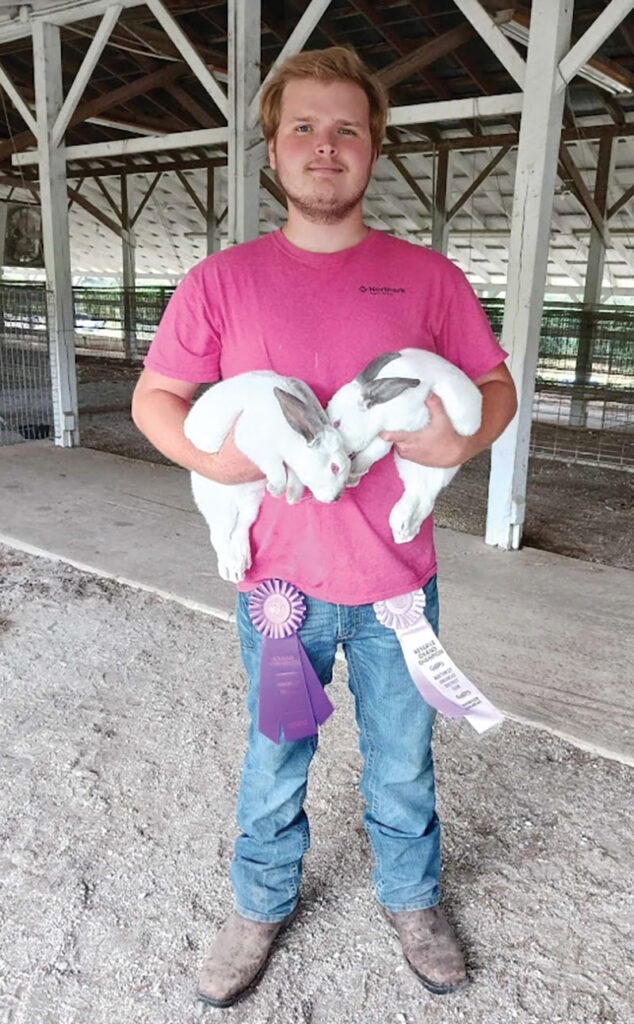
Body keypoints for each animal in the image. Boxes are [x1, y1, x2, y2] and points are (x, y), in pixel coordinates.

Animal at [183, 370, 352, 581]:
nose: (337, 497)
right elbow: (276, 468)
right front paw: (276, 489)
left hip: (251, 504)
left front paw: (292, 497)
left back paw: (242, 559)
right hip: (220, 507)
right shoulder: (257, 447)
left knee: (241, 528)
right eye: (335, 468)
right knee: (220, 536)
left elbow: (294, 477)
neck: (289, 433)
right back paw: (230, 568)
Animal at [327, 350, 481, 544]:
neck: (380, 408)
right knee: (418, 493)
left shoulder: (405, 425)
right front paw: (353, 477)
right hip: (408, 466)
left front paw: (356, 469)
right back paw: (402, 529)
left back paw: (402, 530)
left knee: (427, 500)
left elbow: (379, 447)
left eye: (337, 423)